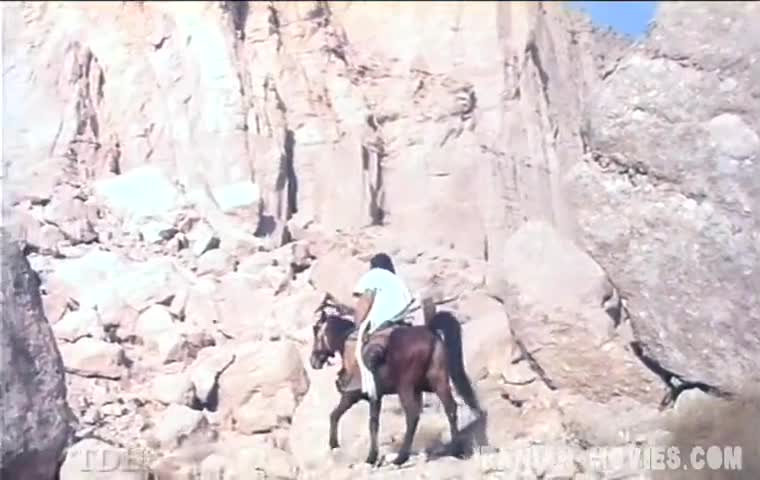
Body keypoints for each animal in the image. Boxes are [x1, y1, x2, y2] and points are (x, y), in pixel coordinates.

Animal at [308, 294, 486, 466]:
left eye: (316, 331)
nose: (313, 361)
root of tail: (430, 332)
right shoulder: (376, 396)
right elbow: (369, 422)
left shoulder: (353, 395)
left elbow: (340, 416)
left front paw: (346, 448)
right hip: (438, 380)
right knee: (451, 408)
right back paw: (455, 449)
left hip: (405, 387)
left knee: (412, 415)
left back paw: (401, 457)